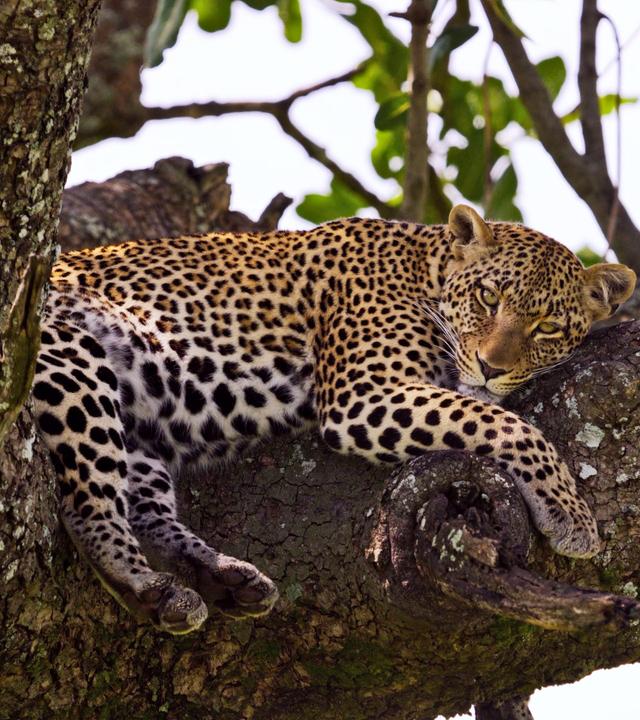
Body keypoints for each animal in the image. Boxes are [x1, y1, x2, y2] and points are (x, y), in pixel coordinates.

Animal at [33, 204, 636, 634]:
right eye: (489, 297)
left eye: (548, 328)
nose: (492, 367)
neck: (426, 269)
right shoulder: (363, 395)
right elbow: (503, 422)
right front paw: (571, 515)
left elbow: (487, 410)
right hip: (70, 358)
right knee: (87, 506)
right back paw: (143, 584)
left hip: (140, 438)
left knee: (144, 509)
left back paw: (218, 579)